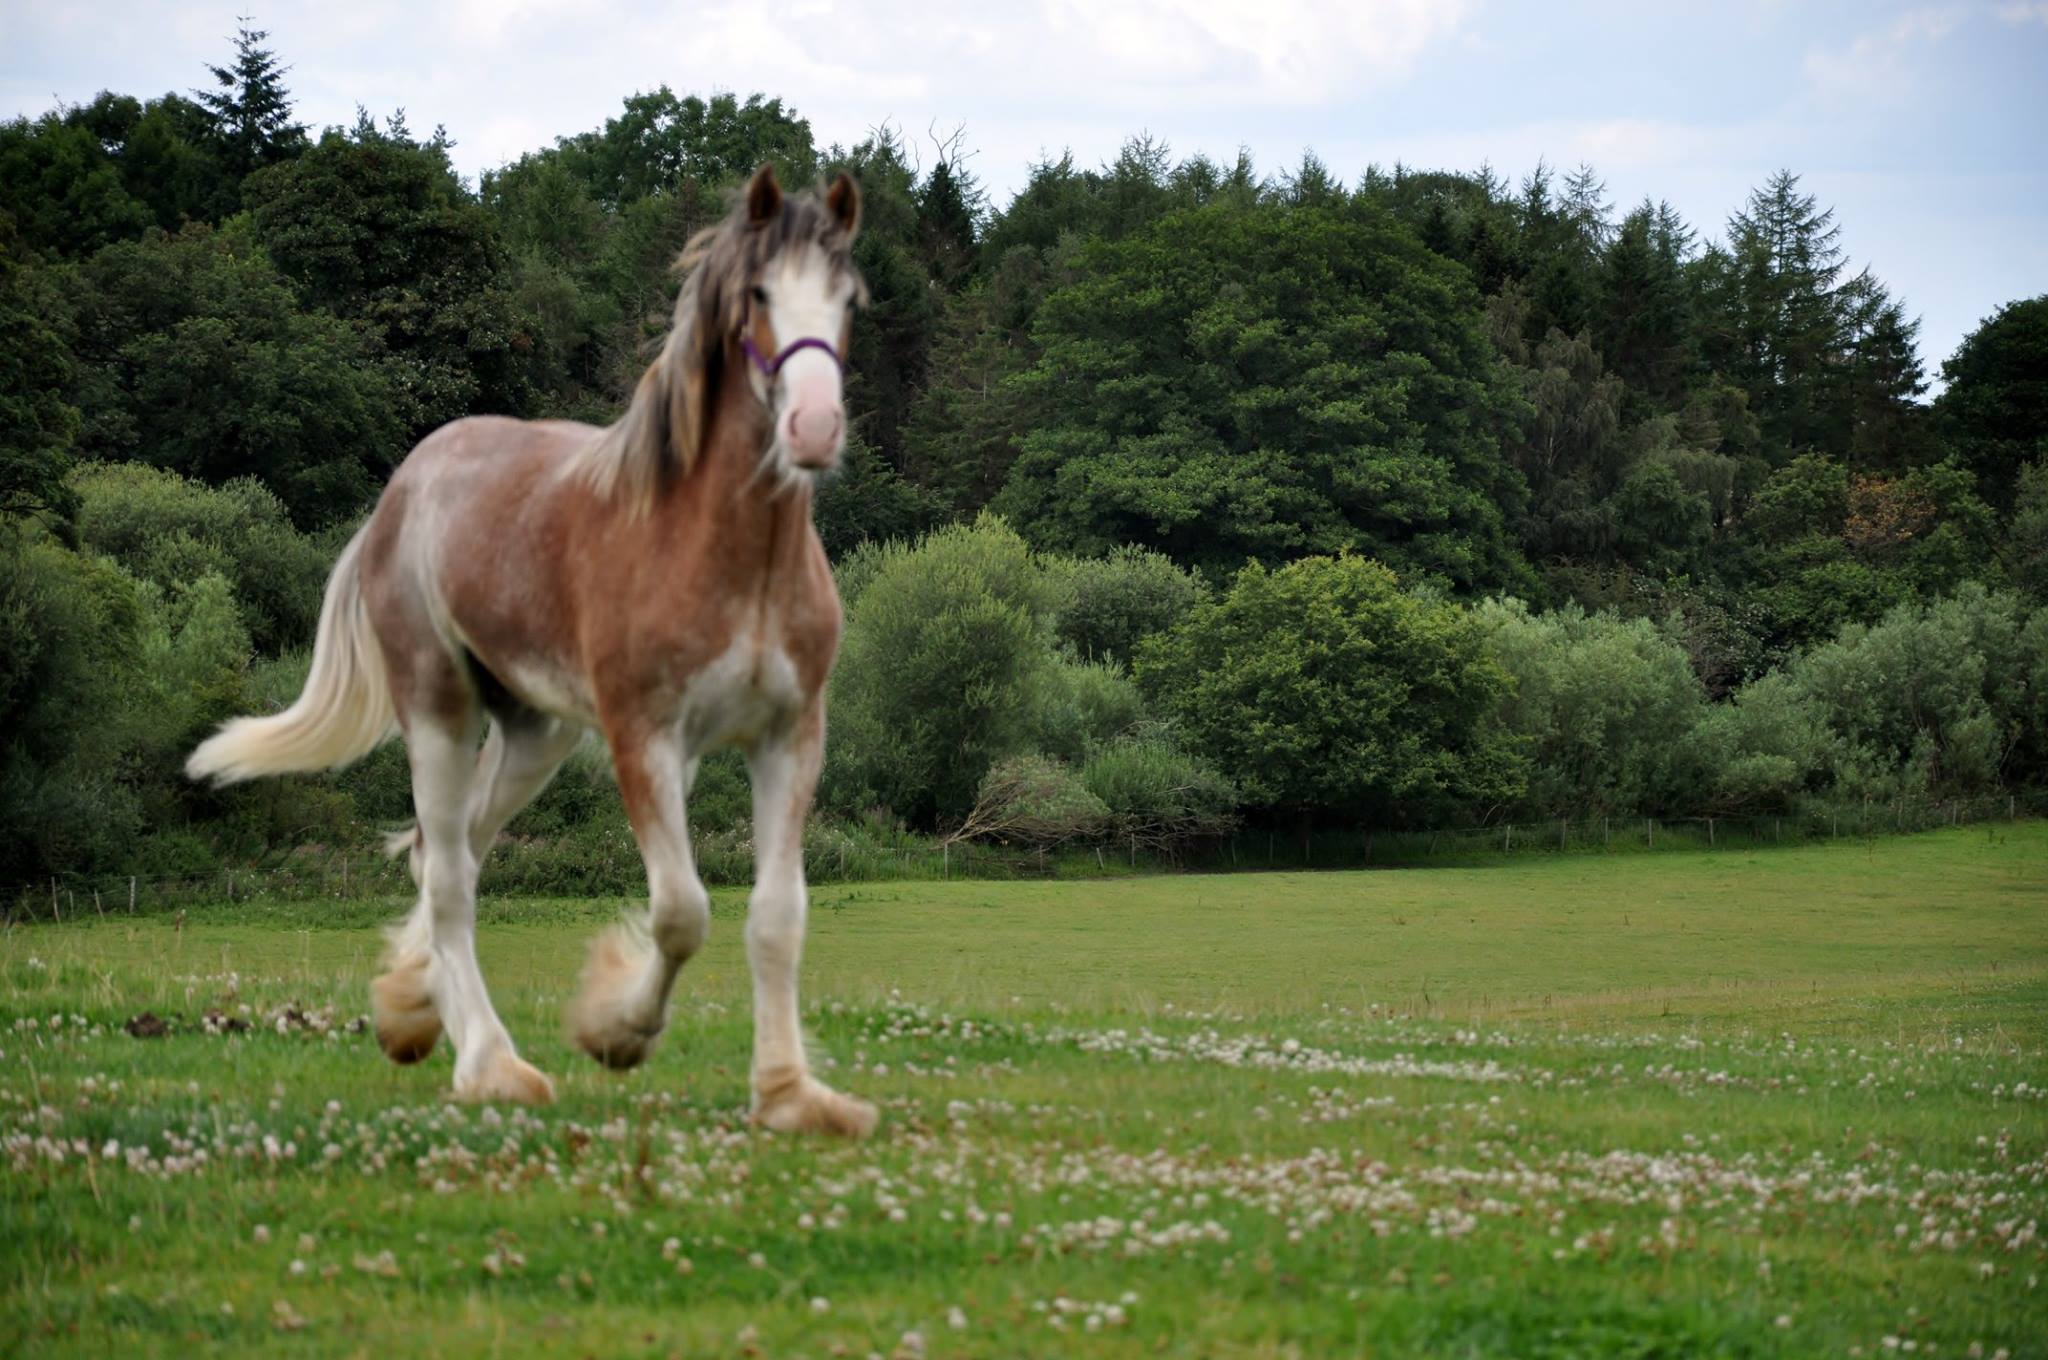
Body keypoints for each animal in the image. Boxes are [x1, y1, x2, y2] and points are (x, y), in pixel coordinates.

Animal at [195, 164, 884, 1130]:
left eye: (847, 299)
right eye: (757, 294)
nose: (815, 430)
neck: (728, 558)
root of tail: (399, 493)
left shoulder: (789, 736)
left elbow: (777, 917)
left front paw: (791, 1095)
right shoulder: (644, 739)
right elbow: (681, 912)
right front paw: (615, 1032)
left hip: (536, 734)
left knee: (442, 854)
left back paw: (410, 1010)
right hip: (439, 713)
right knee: (450, 876)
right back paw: (490, 1063)